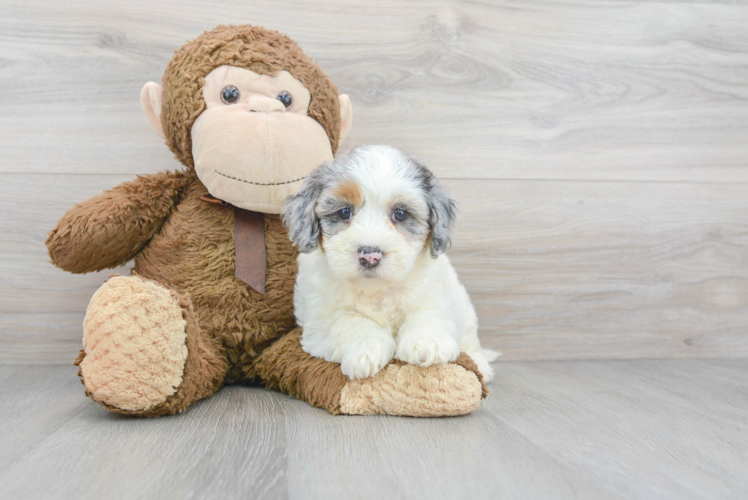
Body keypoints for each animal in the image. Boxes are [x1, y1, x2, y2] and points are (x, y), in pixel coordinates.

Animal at [280, 146, 496, 380]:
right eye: (344, 212)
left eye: (400, 214)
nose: (370, 256)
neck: (377, 290)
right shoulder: (322, 316)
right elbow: (350, 322)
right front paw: (366, 350)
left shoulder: (433, 294)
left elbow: (427, 315)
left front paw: (427, 342)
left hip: (464, 308)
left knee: (470, 340)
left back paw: (481, 365)